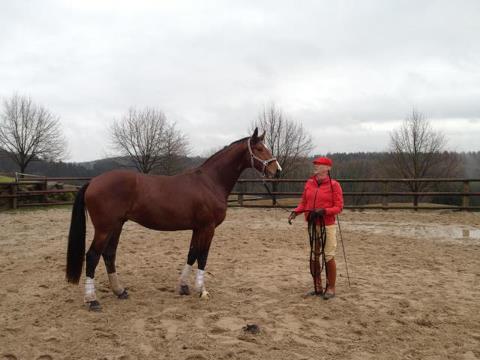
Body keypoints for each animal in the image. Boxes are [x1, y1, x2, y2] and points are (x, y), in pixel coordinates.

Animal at [65, 127, 280, 310]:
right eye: (259, 149)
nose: (277, 170)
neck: (210, 182)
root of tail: (93, 182)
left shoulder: (197, 228)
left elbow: (192, 254)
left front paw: (183, 287)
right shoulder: (208, 227)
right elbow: (203, 256)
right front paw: (201, 290)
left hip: (116, 225)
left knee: (109, 254)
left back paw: (120, 291)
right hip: (104, 228)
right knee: (92, 256)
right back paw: (92, 300)